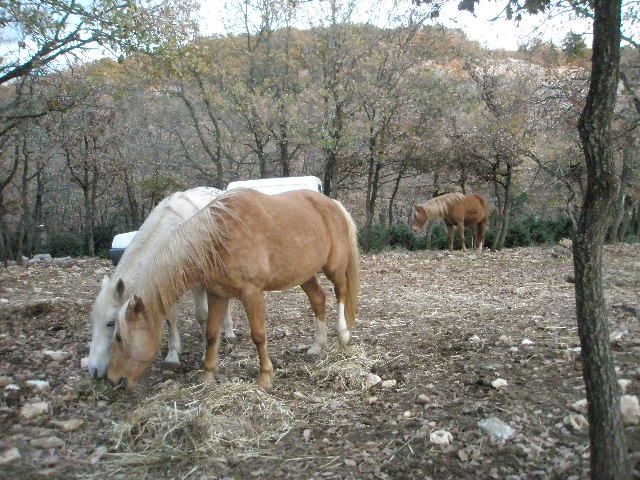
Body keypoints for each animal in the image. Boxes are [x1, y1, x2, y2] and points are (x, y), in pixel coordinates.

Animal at [87, 187, 235, 379]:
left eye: (111, 323)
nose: (93, 370)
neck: (177, 237)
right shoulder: (165, 285)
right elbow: (169, 318)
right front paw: (172, 355)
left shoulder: (199, 284)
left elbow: (201, 315)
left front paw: (205, 352)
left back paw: (229, 332)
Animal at [107, 189, 360, 390]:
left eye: (118, 337)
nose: (112, 379)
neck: (217, 237)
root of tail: (332, 203)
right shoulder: (217, 294)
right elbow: (211, 333)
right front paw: (207, 376)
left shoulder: (252, 294)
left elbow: (258, 335)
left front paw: (265, 377)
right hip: (304, 274)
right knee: (318, 299)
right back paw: (317, 346)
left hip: (334, 268)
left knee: (341, 293)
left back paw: (343, 336)